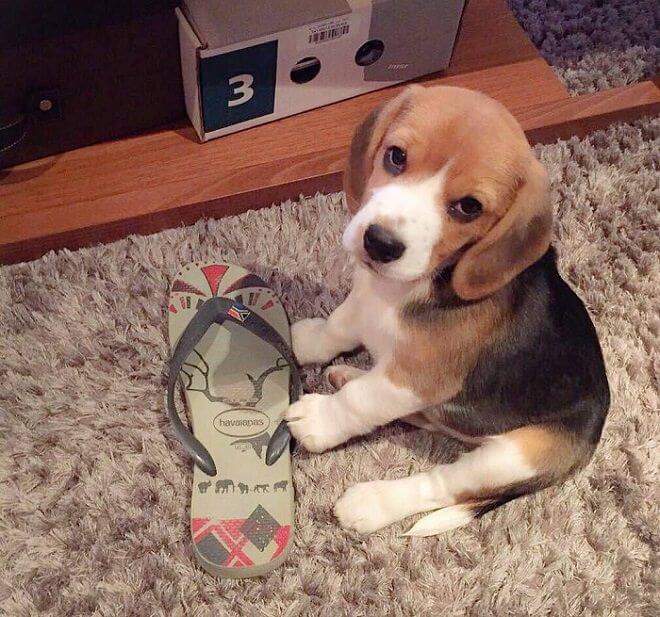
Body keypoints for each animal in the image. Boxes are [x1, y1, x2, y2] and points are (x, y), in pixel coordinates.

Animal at [284, 84, 608, 532]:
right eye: (396, 156)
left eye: (469, 207)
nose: (380, 244)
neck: (400, 290)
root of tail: (594, 434)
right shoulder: (363, 300)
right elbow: (338, 327)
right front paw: (307, 341)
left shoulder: (417, 379)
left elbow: (361, 401)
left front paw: (319, 421)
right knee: (426, 417)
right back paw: (346, 374)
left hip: (513, 455)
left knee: (441, 484)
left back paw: (370, 503)